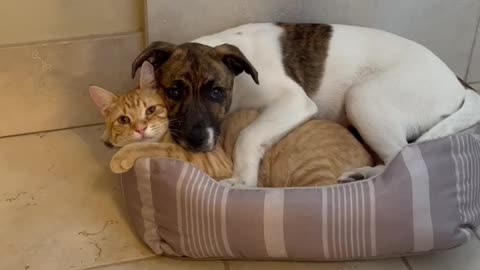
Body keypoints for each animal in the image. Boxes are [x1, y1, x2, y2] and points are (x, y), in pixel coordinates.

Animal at [91, 62, 376, 187]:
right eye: (124, 120)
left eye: (150, 110)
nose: (140, 129)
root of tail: (366, 153)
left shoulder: (201, 159)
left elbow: (155, 149)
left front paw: (121, 157)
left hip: (311, 170)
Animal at [130, 23, 480, 187]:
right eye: (174, 91)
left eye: (216, 92)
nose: (196, 140)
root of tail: (459, 82)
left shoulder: (295, 101)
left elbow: (248, 135)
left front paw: (243, 180)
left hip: (363, 97)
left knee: (400, 156)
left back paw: (363, 176)